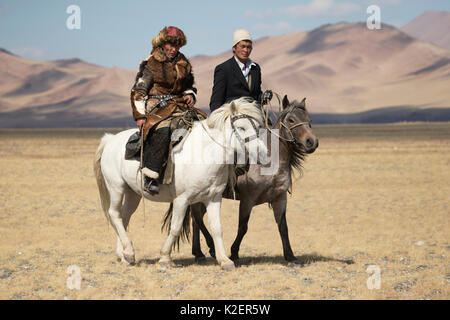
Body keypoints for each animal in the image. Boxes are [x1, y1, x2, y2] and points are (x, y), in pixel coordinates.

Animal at [92, 98, 266, 270]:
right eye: (241, 127)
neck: (204, 154)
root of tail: (110, 140)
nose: (262, 153)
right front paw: (165, 258)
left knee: (124, 216)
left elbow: (217, 228)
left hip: (133, 193)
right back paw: (128, 252)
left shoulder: (214, 198)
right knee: (114, 214)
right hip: (116, 187)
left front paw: (225, 260)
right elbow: (175, 228)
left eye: (258, 127)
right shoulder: (182, 200)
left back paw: (124, 256)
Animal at [165, 95, 320, 264]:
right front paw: (234, 253)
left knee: (195, 220)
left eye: (309, 119)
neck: (269, 163)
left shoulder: (280, 198)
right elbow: (243, 227)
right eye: (291, 120)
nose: (311, 142)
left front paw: (290, 256)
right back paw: (210, 248)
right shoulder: (248, 199)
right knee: (197, 218)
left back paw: (199, 253)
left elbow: (283, 226)